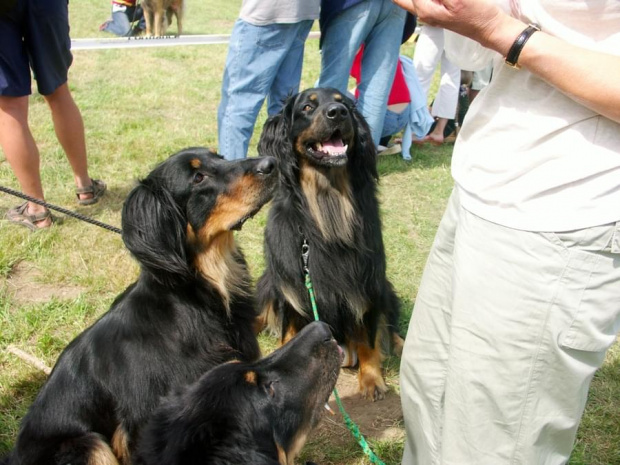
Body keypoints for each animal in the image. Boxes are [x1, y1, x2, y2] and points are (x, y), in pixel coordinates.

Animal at [256, 89, 404, 400]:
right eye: (307, 107)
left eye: (343, 102)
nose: (338, 112)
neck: (326, 201)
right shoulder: (292, 286)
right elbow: (288, 331)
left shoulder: (367, 281)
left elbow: (370, 335)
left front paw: (371, 379)